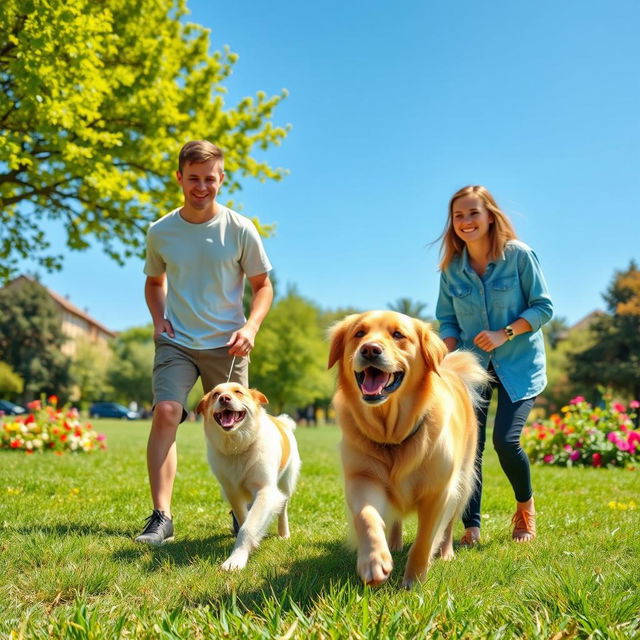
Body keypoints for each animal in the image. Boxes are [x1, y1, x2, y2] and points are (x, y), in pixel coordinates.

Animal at [196, 382, 302, 572]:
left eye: (238, 392)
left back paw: (284, 534)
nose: (224, 398)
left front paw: (235, 560)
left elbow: (248, 526)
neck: (237, 447)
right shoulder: (232, 492)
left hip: (285, 483)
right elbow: (245, 519)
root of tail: (282, 422)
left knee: (282, 508)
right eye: (215, 394)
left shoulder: (265, 490)